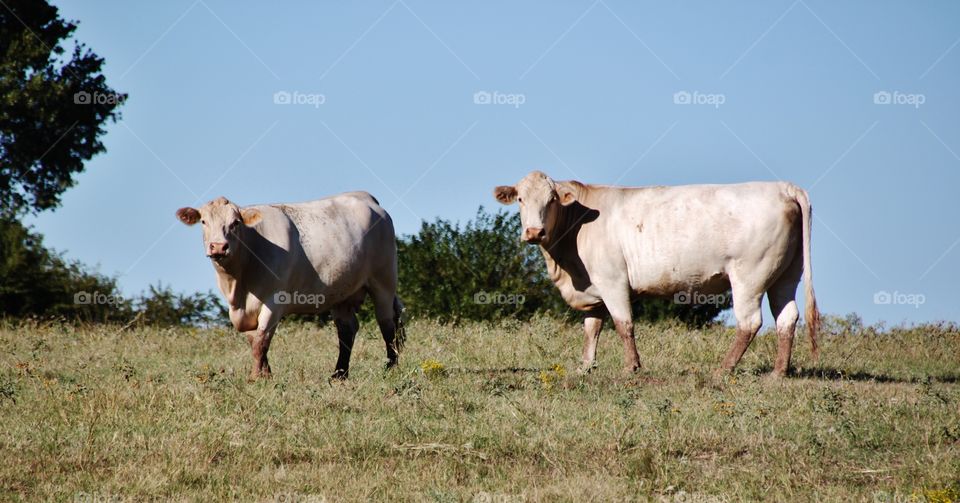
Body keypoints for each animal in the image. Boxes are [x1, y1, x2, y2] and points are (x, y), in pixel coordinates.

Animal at [496, 171, 816, 376]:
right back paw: (778, 373)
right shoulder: (593, 289)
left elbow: (623, 324)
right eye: (521, 199)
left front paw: (631, 367)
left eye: (551, 199)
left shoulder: (613, 281)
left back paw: (723, 369)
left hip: (749, 276)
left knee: (750, 322)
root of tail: (782, 187)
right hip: (785, 275)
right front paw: (585, 367)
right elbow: (592, 328)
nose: (534, 232)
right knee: (787, 318)